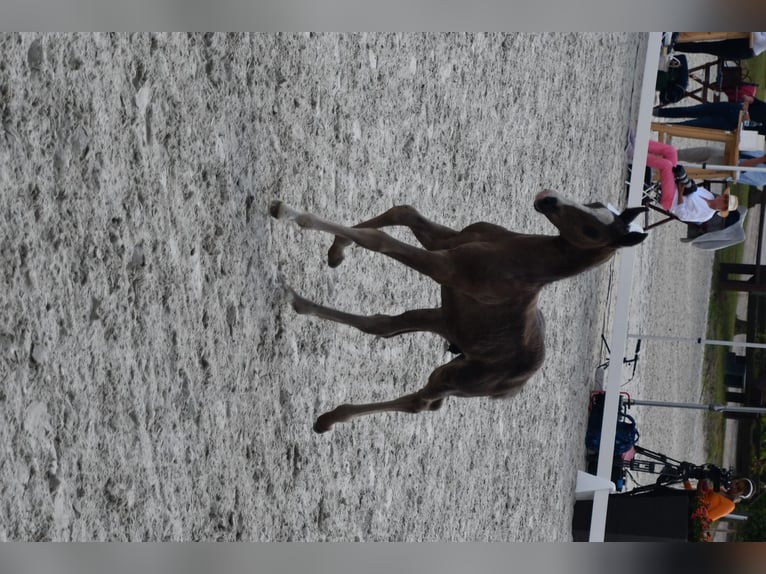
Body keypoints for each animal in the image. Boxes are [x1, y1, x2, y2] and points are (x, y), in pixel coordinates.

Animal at [270, 190, 647, 432]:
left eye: (591, 229)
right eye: (593, 203)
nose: (548, 199)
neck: (520, 255)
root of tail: (516, 386)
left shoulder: (444, 267)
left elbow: (379, 240)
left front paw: (291, 213)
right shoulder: (448, 242)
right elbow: (403, 212)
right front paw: (337, 250)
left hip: (457, 376)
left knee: (422, 401)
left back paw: (331, 418)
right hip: (446, 320)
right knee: (385, 326)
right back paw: (297, 301)